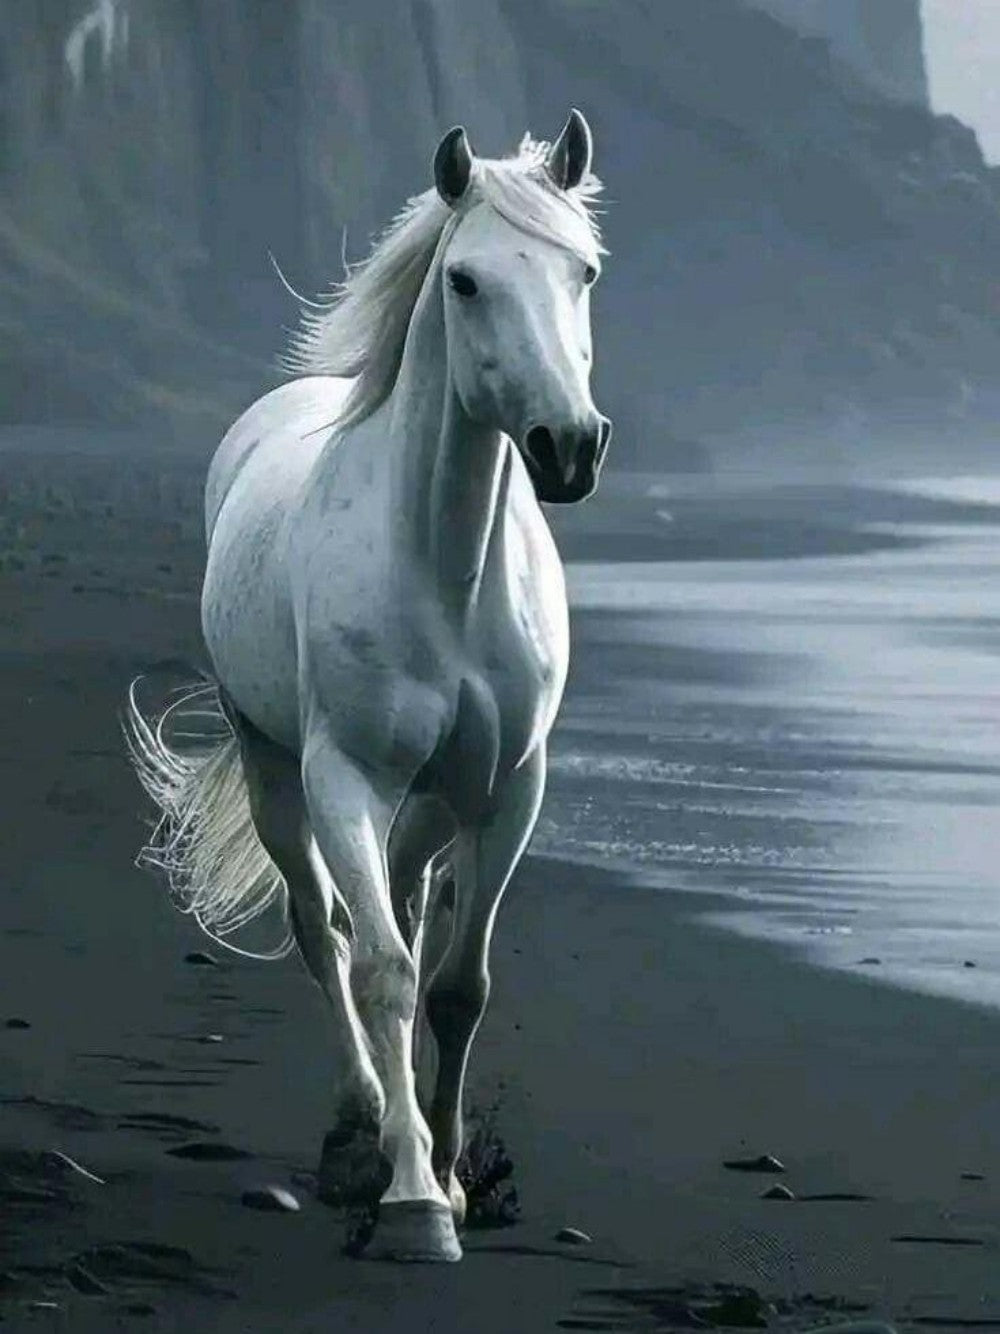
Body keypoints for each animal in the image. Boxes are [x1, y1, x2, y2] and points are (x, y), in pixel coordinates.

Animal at [124, 109, 612, 1264]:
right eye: (467, 281)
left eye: (582, 270)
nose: (570, 447)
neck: (447, 574)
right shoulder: (342, 777)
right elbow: (381, 969)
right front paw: (414, 1199)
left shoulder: (509, 790)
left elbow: (457, 985)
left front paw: (454, 1169)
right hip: (276, 770)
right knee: (326, 928)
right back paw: (359, 1125)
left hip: (431, 804)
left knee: (408, 902)